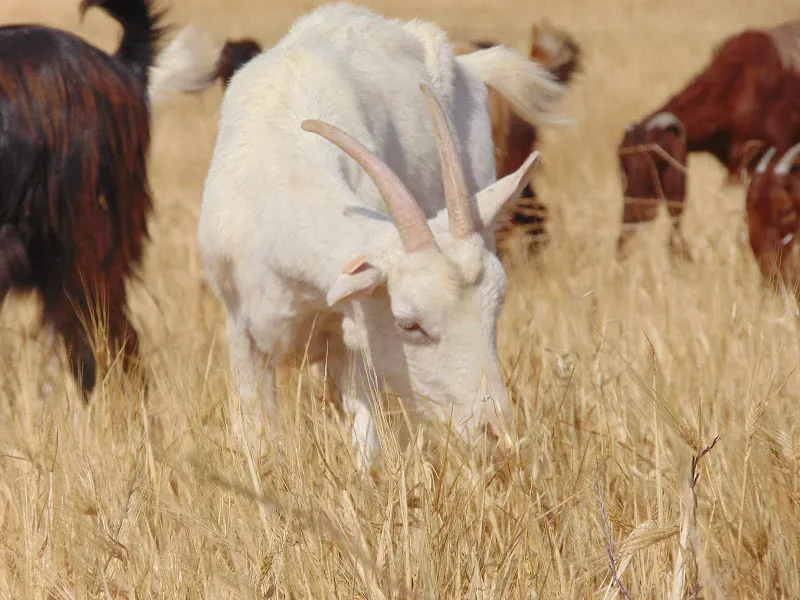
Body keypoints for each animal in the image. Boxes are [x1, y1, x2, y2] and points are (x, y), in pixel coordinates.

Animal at [198, 3, 565, 466]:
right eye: (409, 323)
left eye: (496, 308)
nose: (497, 433)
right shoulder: (241, 329)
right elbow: (256, 438)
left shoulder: (355, 337)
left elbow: (365, 450)